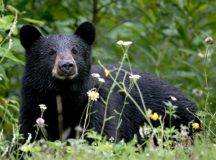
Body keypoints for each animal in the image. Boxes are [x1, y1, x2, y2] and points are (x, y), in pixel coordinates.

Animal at [19, 21, 200, 142]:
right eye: (50, 52)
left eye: (75, 50)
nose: (67, 65)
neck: (63, 94)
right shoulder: (32, 103)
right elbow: (28, 135)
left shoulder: (96, 104)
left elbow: (102, 133)